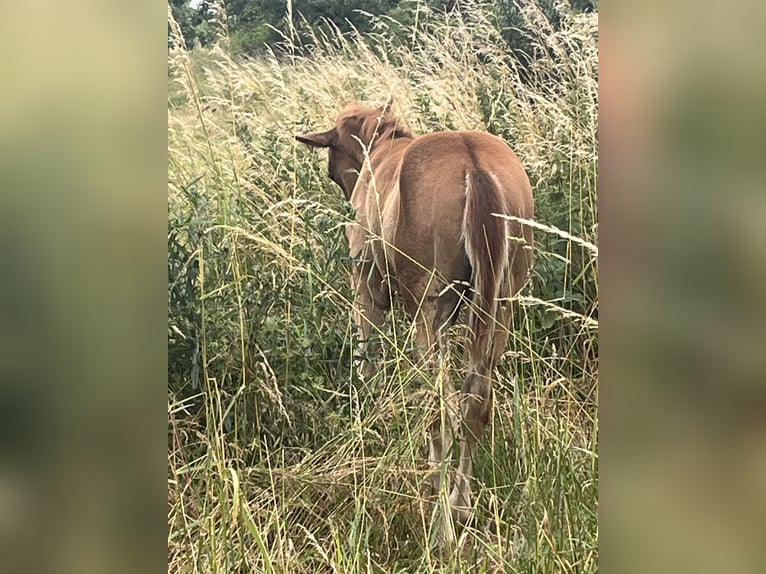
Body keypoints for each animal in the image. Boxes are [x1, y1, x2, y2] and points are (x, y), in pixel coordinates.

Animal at [296, 102, 536, 536]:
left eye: (332, 164)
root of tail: (474, 168)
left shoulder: (366, 288)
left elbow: (367, 358)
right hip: (501, 303)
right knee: (476, 402)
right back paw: (460, 505)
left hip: (430, 311)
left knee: (442, 407)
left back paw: (442, 513)